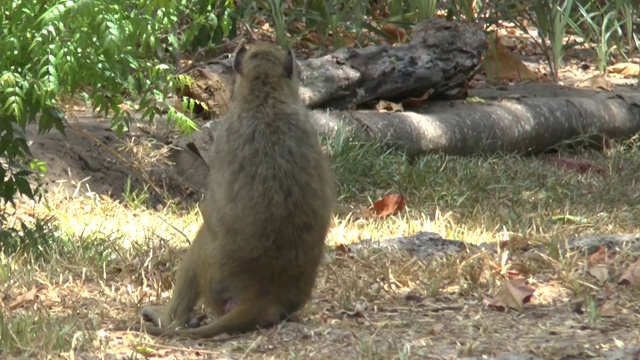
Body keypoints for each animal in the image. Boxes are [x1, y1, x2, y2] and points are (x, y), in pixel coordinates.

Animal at [136, 42, 336, 338]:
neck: (265, 98)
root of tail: (266, 296)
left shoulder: (224, 134)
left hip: (214, 278)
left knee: (199, 246)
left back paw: (168, 318)